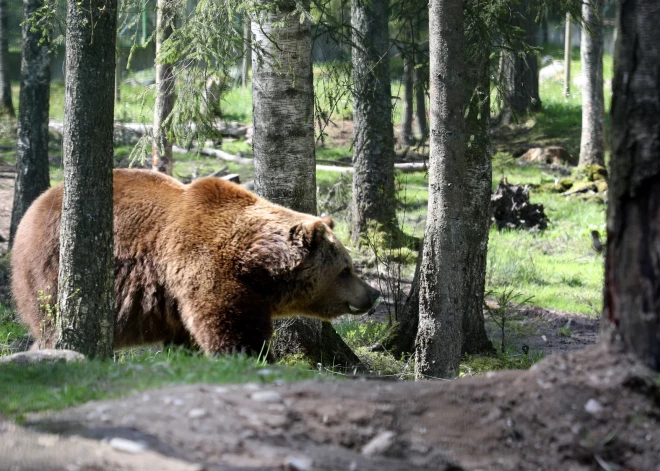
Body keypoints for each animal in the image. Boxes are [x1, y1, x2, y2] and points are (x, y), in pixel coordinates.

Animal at [10, 170, 378, 354]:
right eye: (346, 269)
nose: (372, 294)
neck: (256, 266)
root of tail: (36, 204)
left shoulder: (177, 300)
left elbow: (187, 337)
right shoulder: (205, 270)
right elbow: (232, 328)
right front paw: (254, 356)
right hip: (48, 269)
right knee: (49, 322)